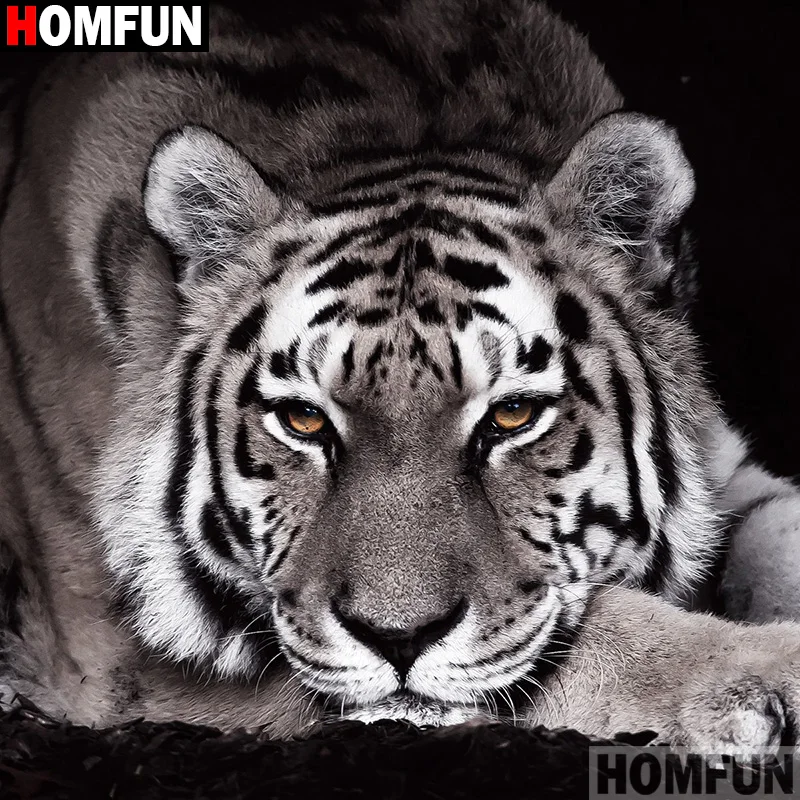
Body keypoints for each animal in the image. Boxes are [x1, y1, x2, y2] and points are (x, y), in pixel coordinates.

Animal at [2, 0, 800, 748]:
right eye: (303, 420)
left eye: (512, 416)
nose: (398, 638)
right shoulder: (121, 657)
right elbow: (595, 639)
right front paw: (759, 673)